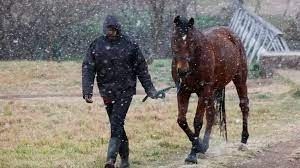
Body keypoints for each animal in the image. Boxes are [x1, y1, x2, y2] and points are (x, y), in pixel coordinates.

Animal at [171, 15, 248, 163]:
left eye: (191, 41)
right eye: (175, 39)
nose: (182, 71)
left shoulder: (204, 90)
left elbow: (197, 121)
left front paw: (193, 154)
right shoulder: (183, 91)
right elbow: (182, 120)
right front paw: (200, 146)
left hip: (239, 79)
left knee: (244, 105)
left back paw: (243, 141)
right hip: (211, 92)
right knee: (211, 114)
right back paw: (205, 145)